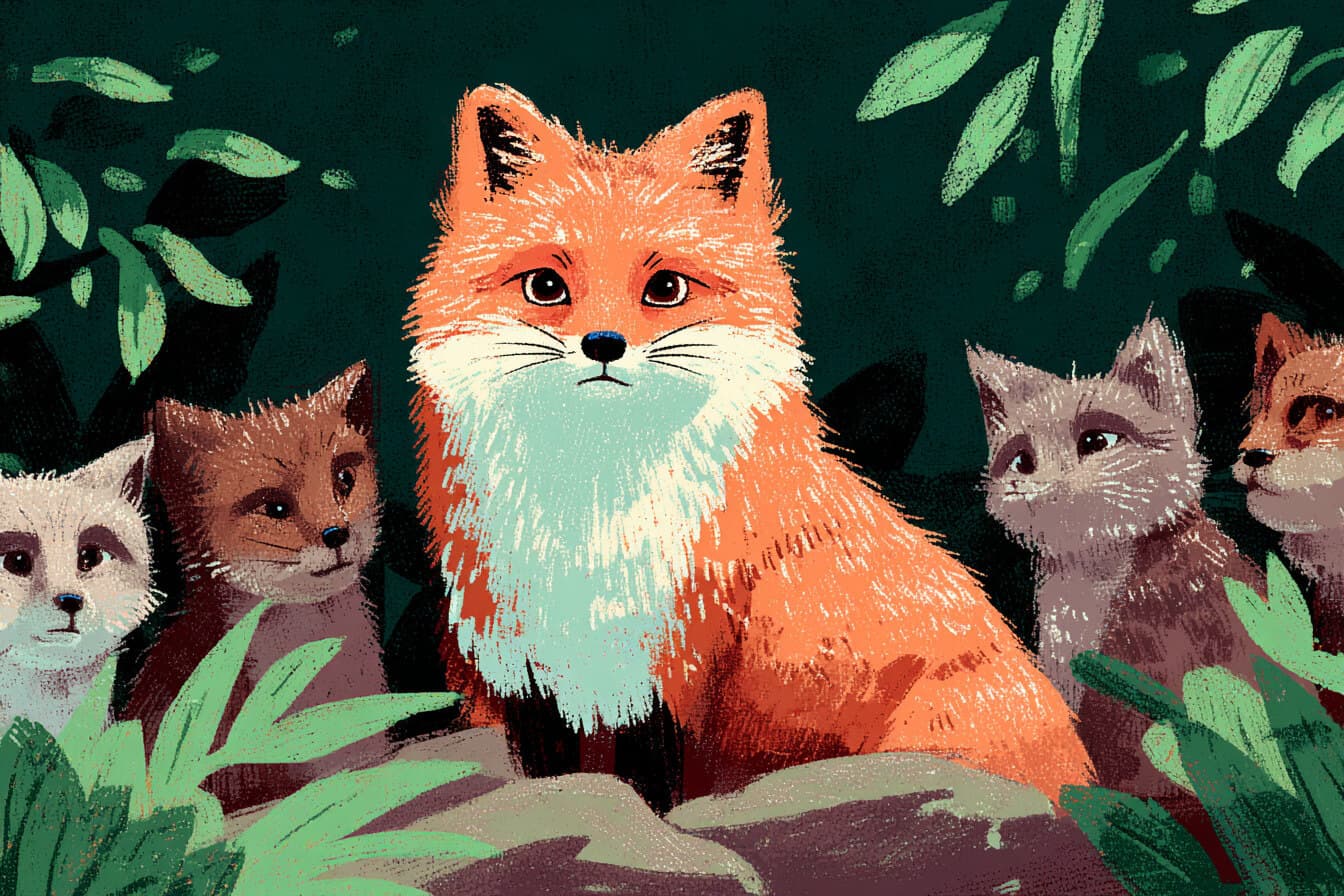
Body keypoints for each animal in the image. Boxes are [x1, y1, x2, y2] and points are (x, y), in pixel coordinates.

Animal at [406, 84, 1093, 802]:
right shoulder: (526, 669)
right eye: (545, 286)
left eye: (666, 289)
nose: (603, 345)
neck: (590, 513)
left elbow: (654, 791)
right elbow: (564, 776)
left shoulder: (674, 667)